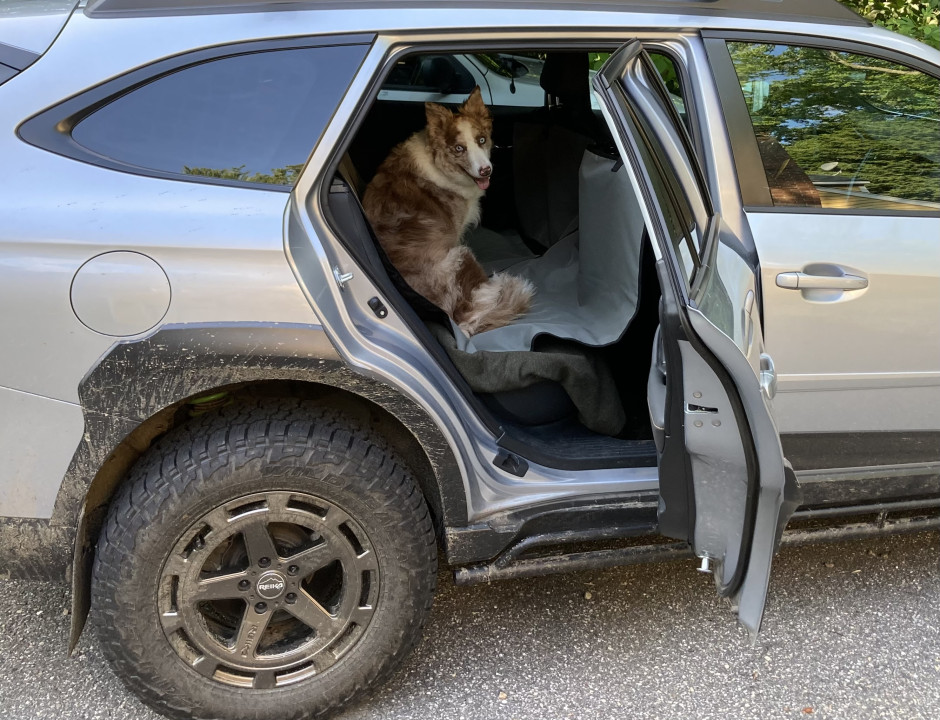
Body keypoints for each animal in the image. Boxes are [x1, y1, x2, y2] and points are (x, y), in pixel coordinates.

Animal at [362, 86, 532, 334]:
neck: (439, 165)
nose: (486, 171)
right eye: (459, 149)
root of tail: (458, 322)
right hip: (460, 256)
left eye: (482, 140)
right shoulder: (456, 233)